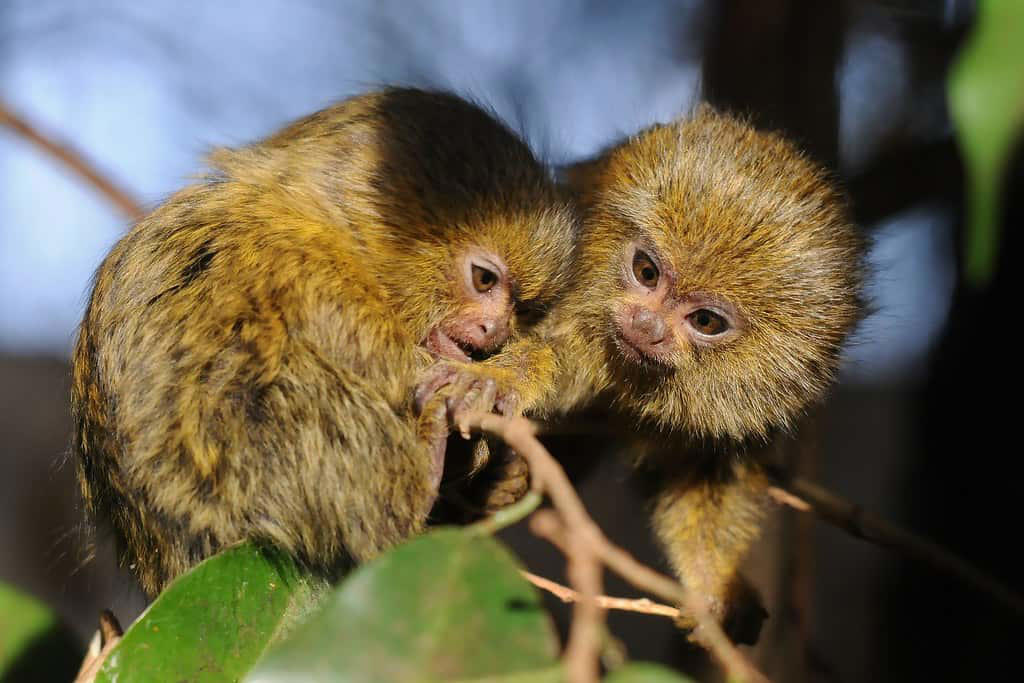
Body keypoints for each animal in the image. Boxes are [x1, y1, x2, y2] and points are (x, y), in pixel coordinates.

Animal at [70, 87, 577, 598]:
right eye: (484, 279)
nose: (496, 330)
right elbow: (371, 351)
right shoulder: (292, 263)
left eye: (520, 309)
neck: (332, 228)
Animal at [423, 105, 867, 639]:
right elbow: (546, 351)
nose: (646, 325)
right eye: (647, 272)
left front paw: (716, 588)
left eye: (706, 321)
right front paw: (503, 377)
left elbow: (702, 478)